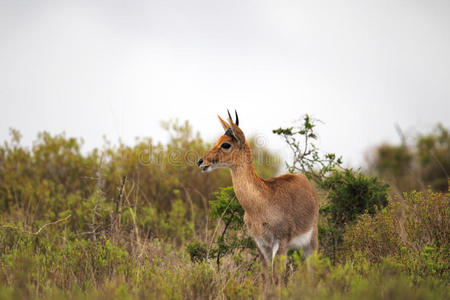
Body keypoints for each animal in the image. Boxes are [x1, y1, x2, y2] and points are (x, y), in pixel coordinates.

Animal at [198, 110, 320, 284]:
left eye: (226, 144)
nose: (201, 161)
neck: (262, 203)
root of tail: (304, 180)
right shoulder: (261, 245)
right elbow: (265, 278)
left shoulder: (280, 242)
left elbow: (277, 279)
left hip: (311, 241)